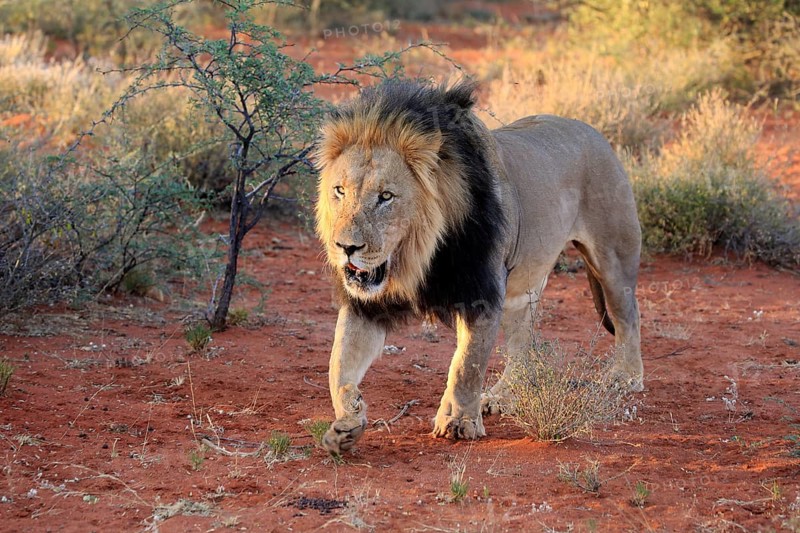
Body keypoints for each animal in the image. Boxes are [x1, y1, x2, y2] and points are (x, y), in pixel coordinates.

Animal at [314, 80, 643, 455]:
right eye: (340, 191)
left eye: (386, 196)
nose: (346, 247)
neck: (418, 258)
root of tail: (595, 132)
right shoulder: (366, 304)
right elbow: (339, 364)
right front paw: (346, 423)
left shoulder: (480, 292)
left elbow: (466, 364)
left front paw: (459, 422)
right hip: (523, 287)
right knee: (523, 343)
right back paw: (502, 396)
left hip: (612, 258)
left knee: (628, 315)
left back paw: (625, 377)